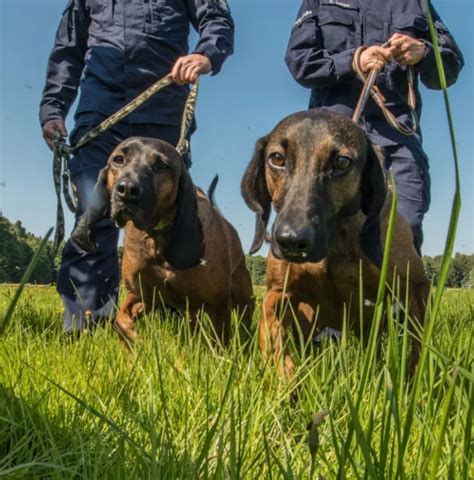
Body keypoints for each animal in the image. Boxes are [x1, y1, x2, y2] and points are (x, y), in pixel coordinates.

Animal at [72, 137, 254, 344]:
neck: (157, 237)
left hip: (242, 295)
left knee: (245, 320)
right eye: (118, 159)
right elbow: (120, 322)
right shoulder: (142, 295)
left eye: (161, 166)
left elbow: (219, 344)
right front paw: (136, 342)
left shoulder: (218, 305)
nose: (126, 190)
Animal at [241, 109, 430, 378]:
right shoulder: (278, 292)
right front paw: (286, 377)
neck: (334, 243)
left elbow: (418, 346)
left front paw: (414, 383)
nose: (290, 241)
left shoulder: (416, 286)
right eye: (276, 159)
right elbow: (271, 329)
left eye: (342, 163)